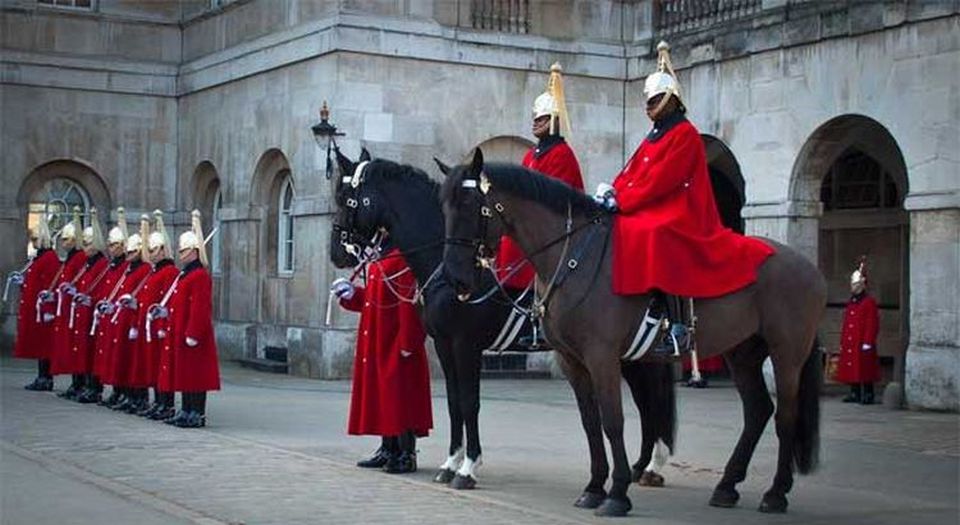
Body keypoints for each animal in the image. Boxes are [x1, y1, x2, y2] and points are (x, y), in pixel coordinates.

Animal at [334, 149, 680, 490]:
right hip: (631, 354)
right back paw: (641, 467)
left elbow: (469, 403)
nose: (337, 253)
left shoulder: (466, 344)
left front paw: (468, 467)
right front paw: (451, 462)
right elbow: (454, 403)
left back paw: (649, 465)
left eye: (345, 198)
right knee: (647, 405)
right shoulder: (444, 344)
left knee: (650, 403)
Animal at [438, 147, 820, 516]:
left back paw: (775, 493)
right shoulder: (571, 360)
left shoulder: (601, 356)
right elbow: (590, 422)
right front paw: (594, 487)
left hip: (786, 354)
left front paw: (617, 493)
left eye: (471, 206)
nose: (456, 279)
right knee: (757, 410)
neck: (573, 258)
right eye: (445, 207)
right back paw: (726, 486)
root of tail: (806, 264)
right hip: (741, 353)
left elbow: (612, 421)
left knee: (785, 415)